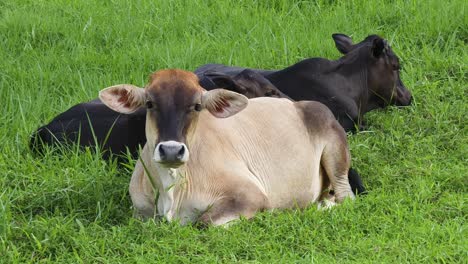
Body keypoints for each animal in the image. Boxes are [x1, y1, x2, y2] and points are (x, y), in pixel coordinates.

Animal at [99, 69, 354, 226]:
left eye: (197, 106)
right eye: (150, 103)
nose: (171, 150)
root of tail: (297, 104)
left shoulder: (251, 196)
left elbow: (203, 223)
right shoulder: (139, 213)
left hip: (336, 153)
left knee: (346, 197)